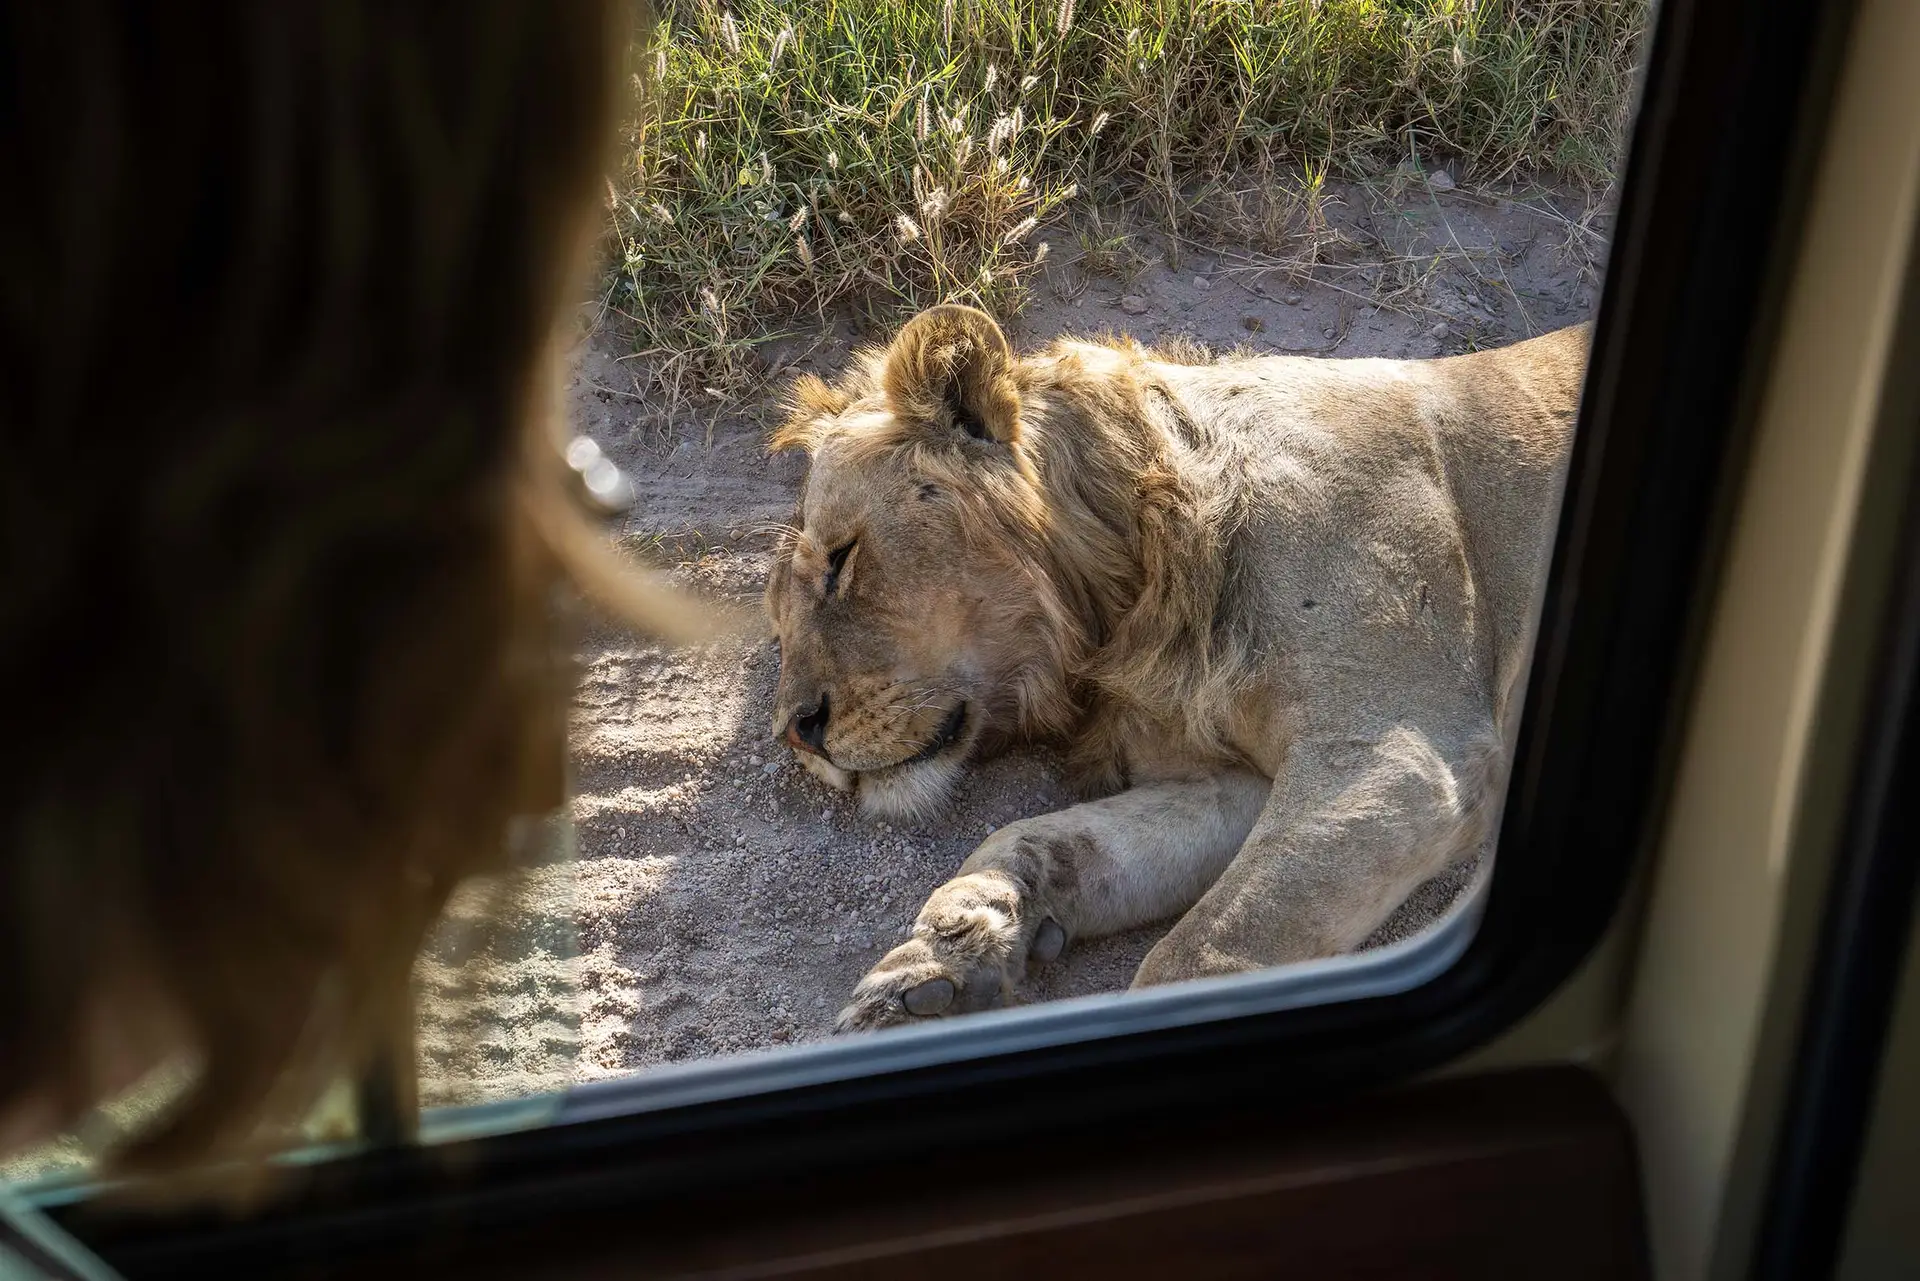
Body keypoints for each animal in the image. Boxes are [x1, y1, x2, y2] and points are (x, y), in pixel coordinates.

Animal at [764, 307, 1589, 1029]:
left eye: (840, 561)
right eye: (777, 623)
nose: (797, 733)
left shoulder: (1400, 751)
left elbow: (1200, 952)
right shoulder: (1230, 781)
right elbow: (1041, 838)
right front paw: (942, 957)